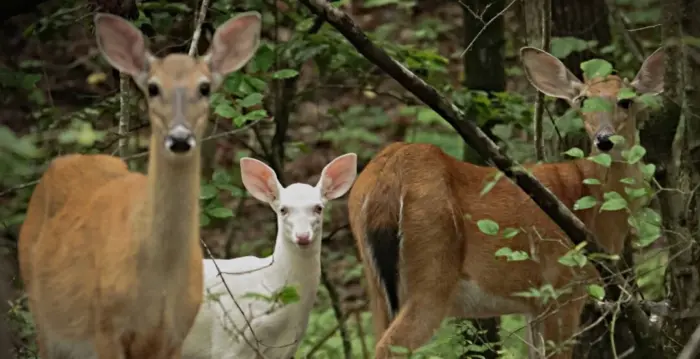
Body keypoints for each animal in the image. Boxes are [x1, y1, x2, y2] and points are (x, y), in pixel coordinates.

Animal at [17, 11, 262, 359]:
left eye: (204, 88)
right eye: (154, 88)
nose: (179, 139)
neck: (159, 278)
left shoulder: (175, 334)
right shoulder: (106, 327)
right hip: (43, 315)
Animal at [348, 46, 664, 358]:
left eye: (626, 100)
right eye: (583, 100)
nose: (604, 139)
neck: (591, 208)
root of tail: (388, 173)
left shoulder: (533, 304)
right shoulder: (561, 289)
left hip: (376, 284)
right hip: (431, 271)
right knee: (388, 346)